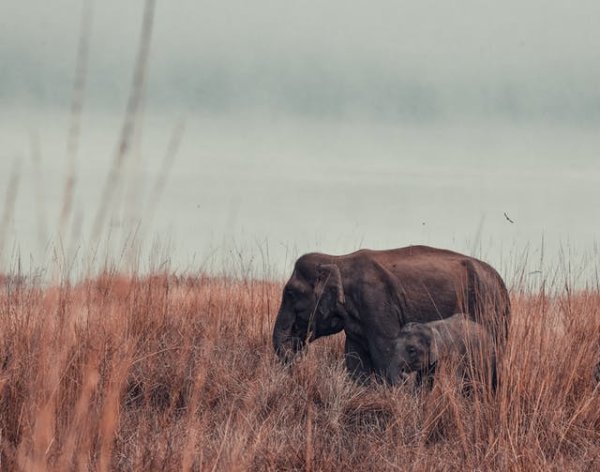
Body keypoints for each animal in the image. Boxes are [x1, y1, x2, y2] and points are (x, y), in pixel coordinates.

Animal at [272, 245, 510, 382]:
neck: (339, 260)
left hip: (488, 309)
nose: (299, 354)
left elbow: (385, 354)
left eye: (290, 293)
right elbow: (355, 358)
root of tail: (502, 284)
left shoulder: (376, 303)